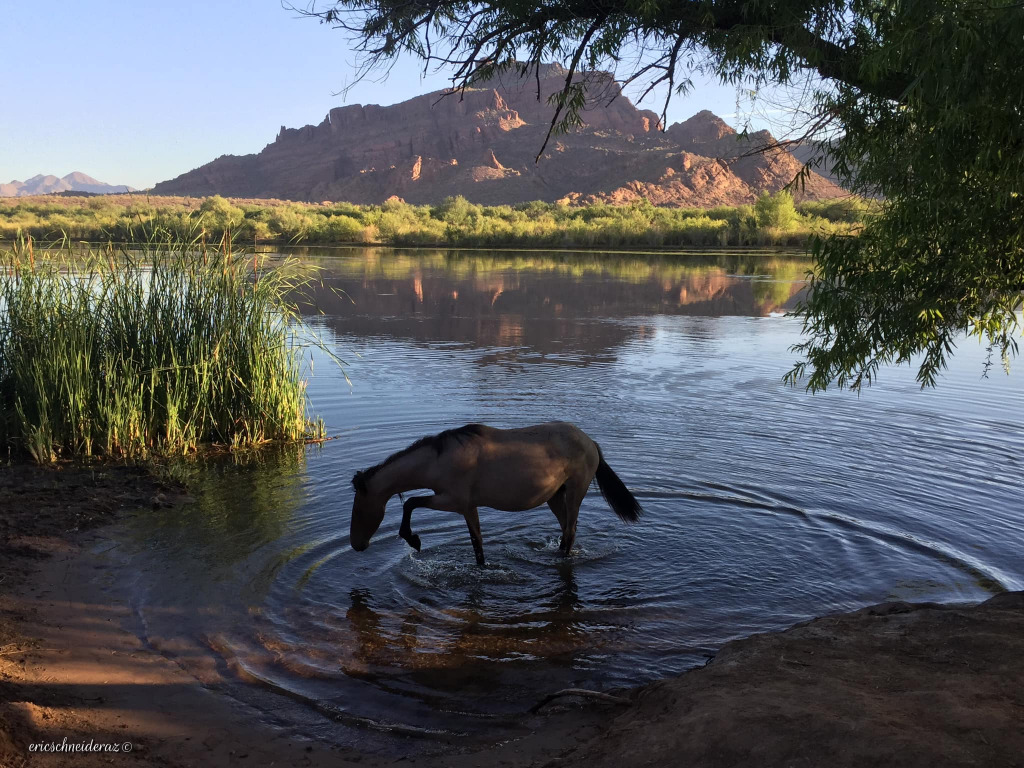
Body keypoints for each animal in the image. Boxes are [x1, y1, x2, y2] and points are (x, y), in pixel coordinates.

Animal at [350, 421, 638, 565]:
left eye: (359, 508)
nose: (356, 544)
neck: (438, 461)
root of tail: (590, 442)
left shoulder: (454, 501)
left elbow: (410, 502)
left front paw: (413, 539)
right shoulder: (467, 507)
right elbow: (477, 544)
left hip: (575, 494)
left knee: (570, 533)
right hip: (556, 497)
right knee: (566, 529)